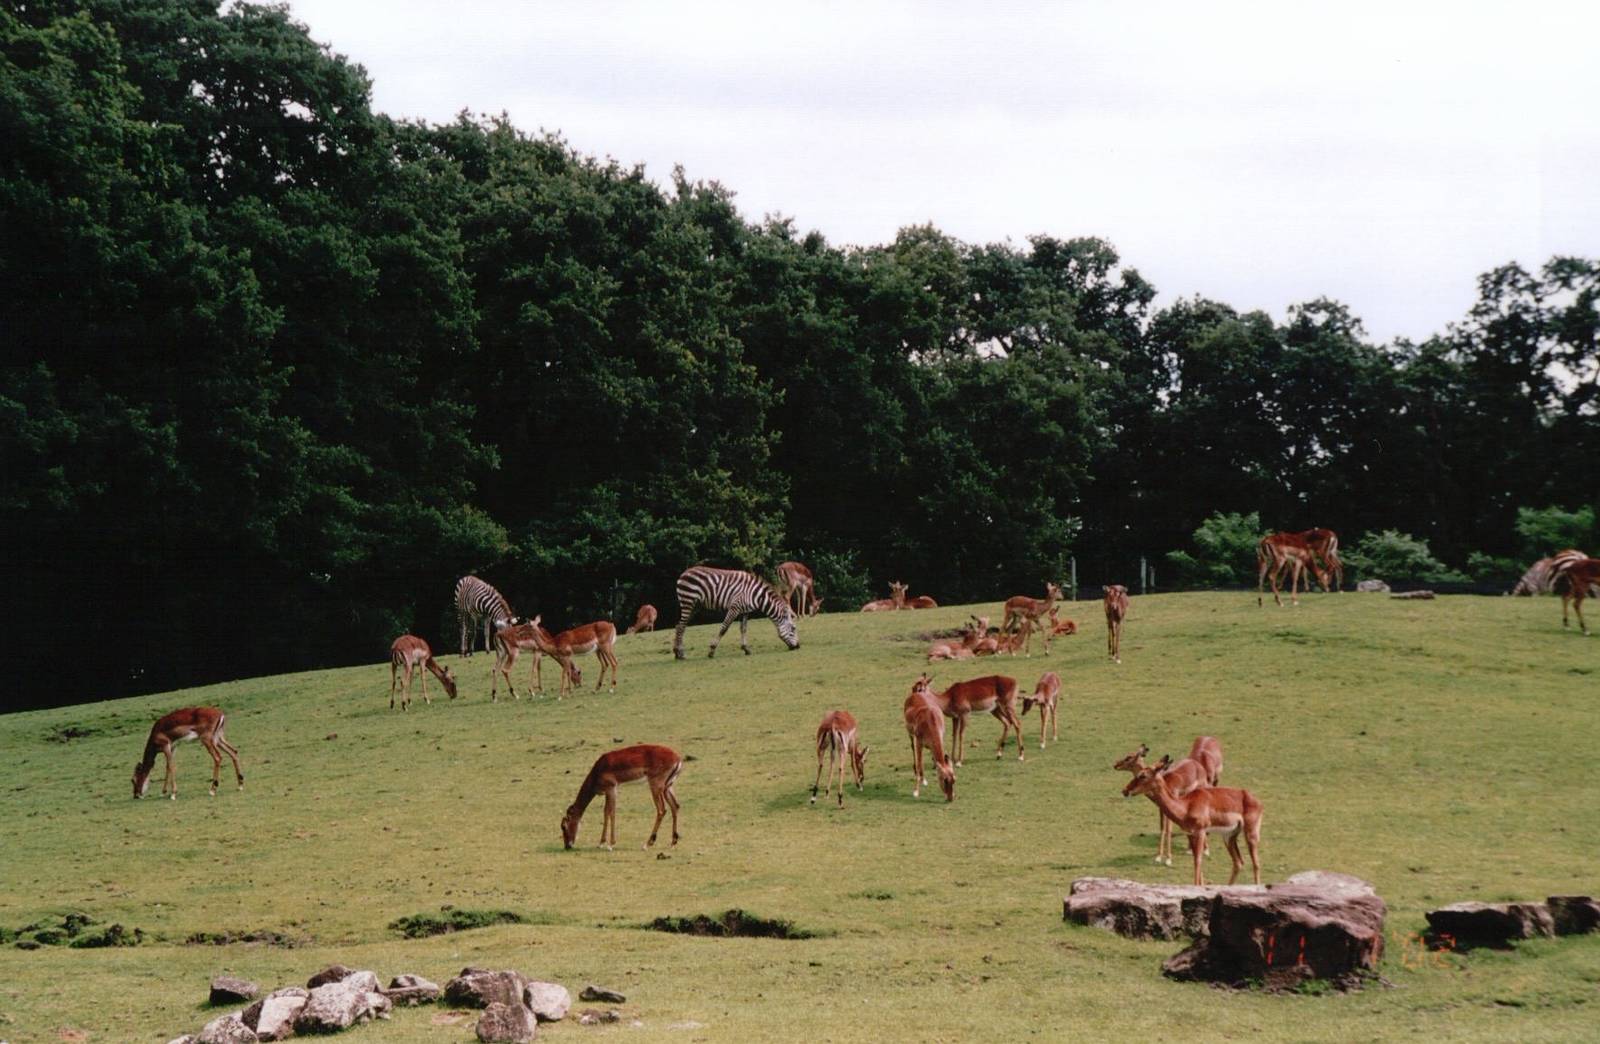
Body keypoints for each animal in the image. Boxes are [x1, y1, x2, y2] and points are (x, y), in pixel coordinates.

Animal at [1125, 756, 1262, 885]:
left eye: (1143, 775)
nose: (1125, 790)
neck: (1186, 806)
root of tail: (1256, 801)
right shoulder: (1190, 834)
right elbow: (1196, 860)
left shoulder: (1201, 832)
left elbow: (1198, 861)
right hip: (1229, 837)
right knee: (1238, 862)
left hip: (1251, 834)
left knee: (1256, 864)